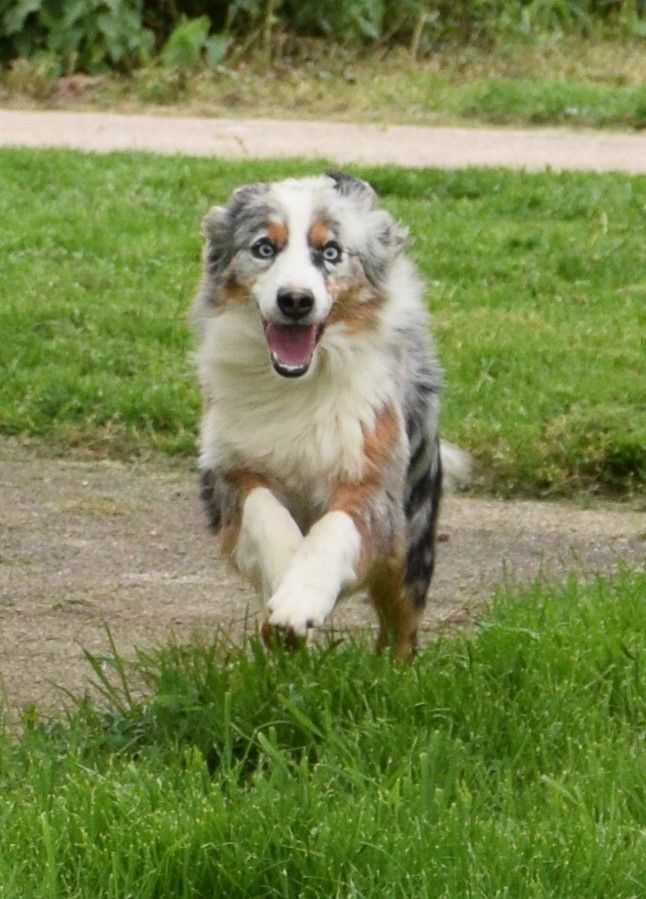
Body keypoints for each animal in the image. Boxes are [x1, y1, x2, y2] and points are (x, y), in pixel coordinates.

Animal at [191, 172, 466, 656]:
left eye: (331, 252)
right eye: (265, 248)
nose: (296, 300)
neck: (299, 383)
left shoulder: (375, 475)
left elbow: (335, 530)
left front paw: (300, 598)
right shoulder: (228, 469)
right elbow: (266, 515)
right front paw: (286, 583)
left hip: (413, 537)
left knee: (402, 626)